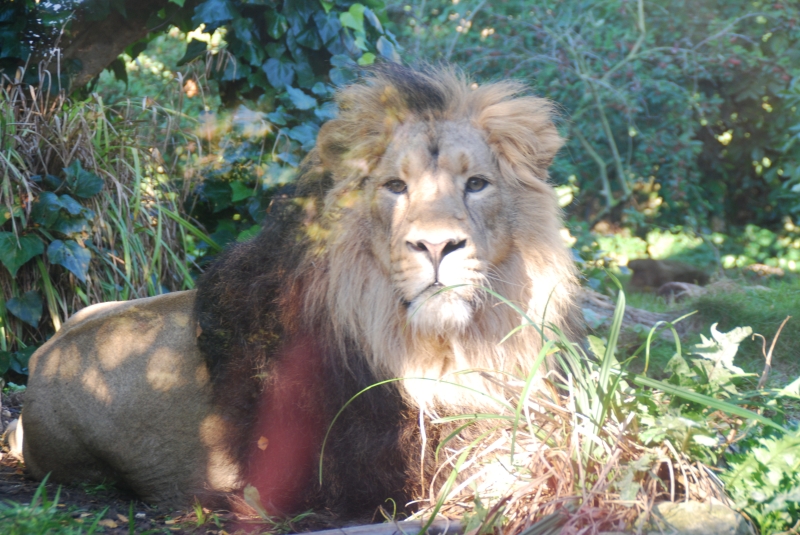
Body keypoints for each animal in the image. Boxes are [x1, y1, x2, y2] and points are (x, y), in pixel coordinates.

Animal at [17, 65, 580, 520]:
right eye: (396, 187)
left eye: (477, 184)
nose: (437, 245)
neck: (445, 343)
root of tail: (39, 364)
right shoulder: (383, 468)